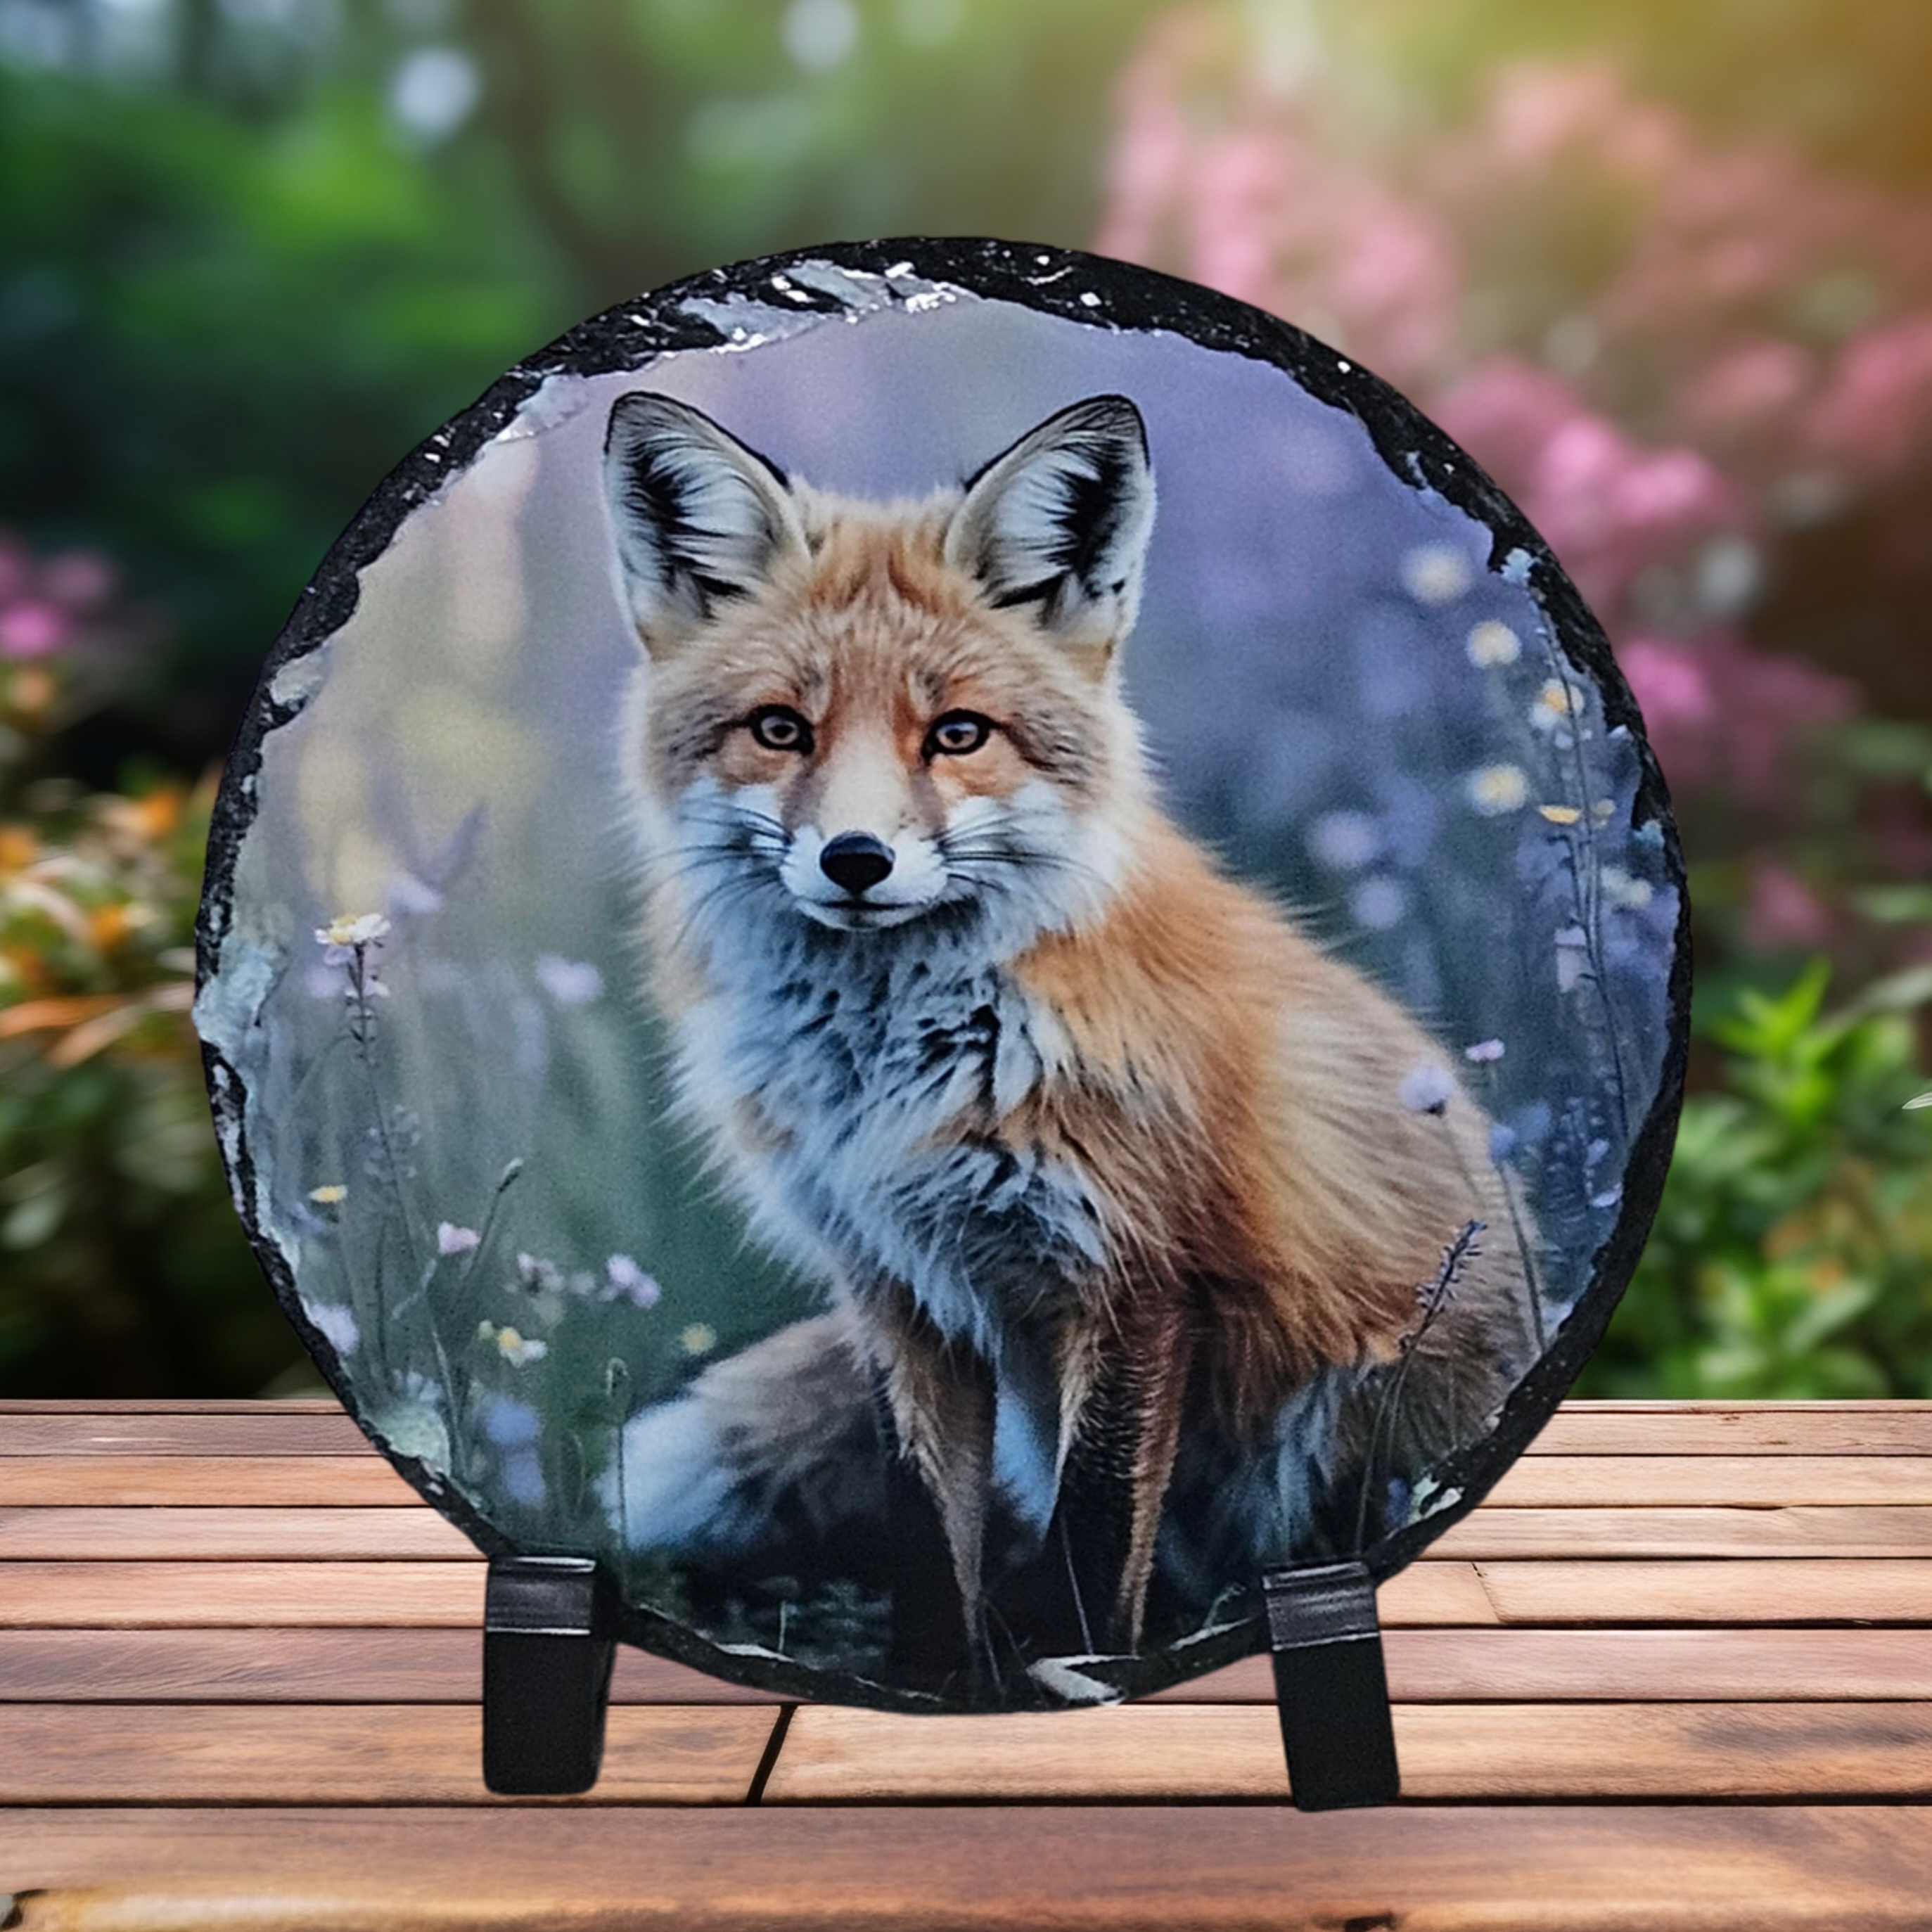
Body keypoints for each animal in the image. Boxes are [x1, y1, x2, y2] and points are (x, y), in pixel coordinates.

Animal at [600, 386, 1535, 1686]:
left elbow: (1094, 1534)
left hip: (1341, 1421)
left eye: (957, 734)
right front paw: (934, 1690)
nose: (854, 859)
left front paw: (1090, 1681)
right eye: (780, 729)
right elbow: (925, 1534)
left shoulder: (1135, 1274)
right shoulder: (895, 1283)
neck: (898, 1069)